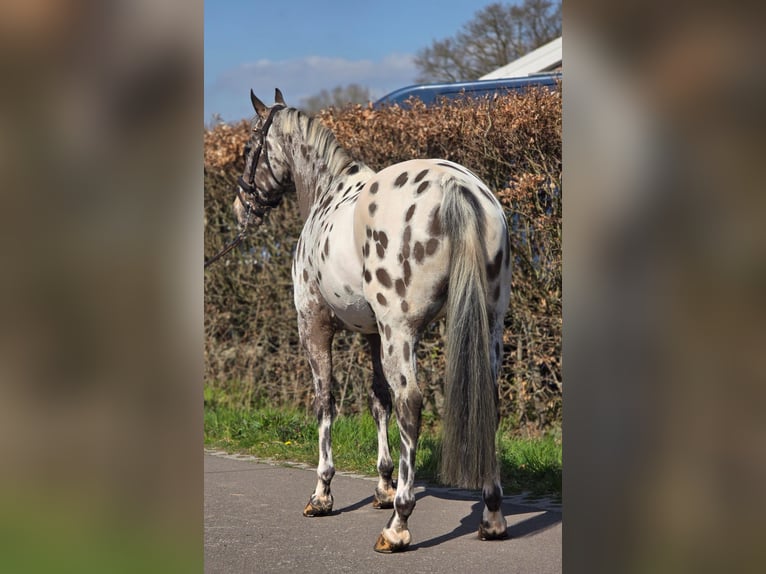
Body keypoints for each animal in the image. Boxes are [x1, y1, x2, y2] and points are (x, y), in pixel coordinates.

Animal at [232, 88, 512, 552]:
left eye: (249, 148)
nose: (241, 208)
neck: (328, 192)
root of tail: (457, 186)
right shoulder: (371, 334)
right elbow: (378, 398)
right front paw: (381, 485)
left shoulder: (314, 325)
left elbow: (326, 401)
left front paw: (322, 495)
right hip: (487, 325)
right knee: (485, 399)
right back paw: (491, 517)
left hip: (401, 331)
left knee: (410, 402)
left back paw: (398, 524)